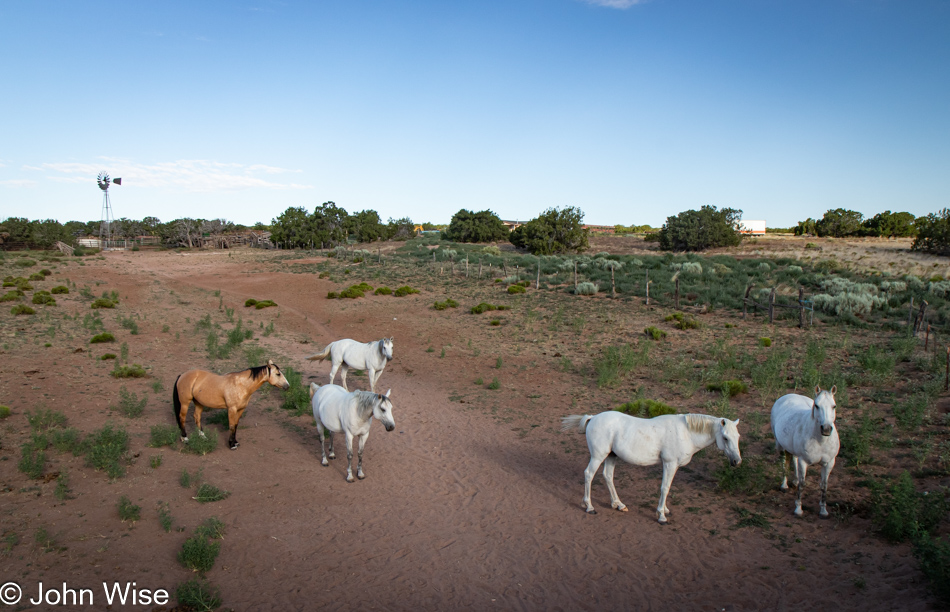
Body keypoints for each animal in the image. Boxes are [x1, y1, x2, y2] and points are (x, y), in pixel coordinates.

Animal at [564, 408, 744, 524]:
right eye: (726, 438)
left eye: (738, 436)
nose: (737, 461)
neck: (685, 433)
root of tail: (593, 418)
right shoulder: (669, 463)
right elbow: (665, 487)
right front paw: (661, 516)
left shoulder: (673, 466)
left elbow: (668, 487)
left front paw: (664, 510)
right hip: (598, 456)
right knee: (589, 474)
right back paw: (589, 507)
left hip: (611, 456)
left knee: (608, 476)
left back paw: (619, 504)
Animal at [768, 388, 844, 516]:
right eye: (817, 405)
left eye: (834, 406)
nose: (826, 429)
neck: (820, 440)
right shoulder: (803, 461)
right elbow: (802, 484)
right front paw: (798, 509)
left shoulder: (829, 463)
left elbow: (824, 485)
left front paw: (823, 511)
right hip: (780, 445)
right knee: (784, 463)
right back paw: (784, 485)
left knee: (794, 458)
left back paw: (795, 481)